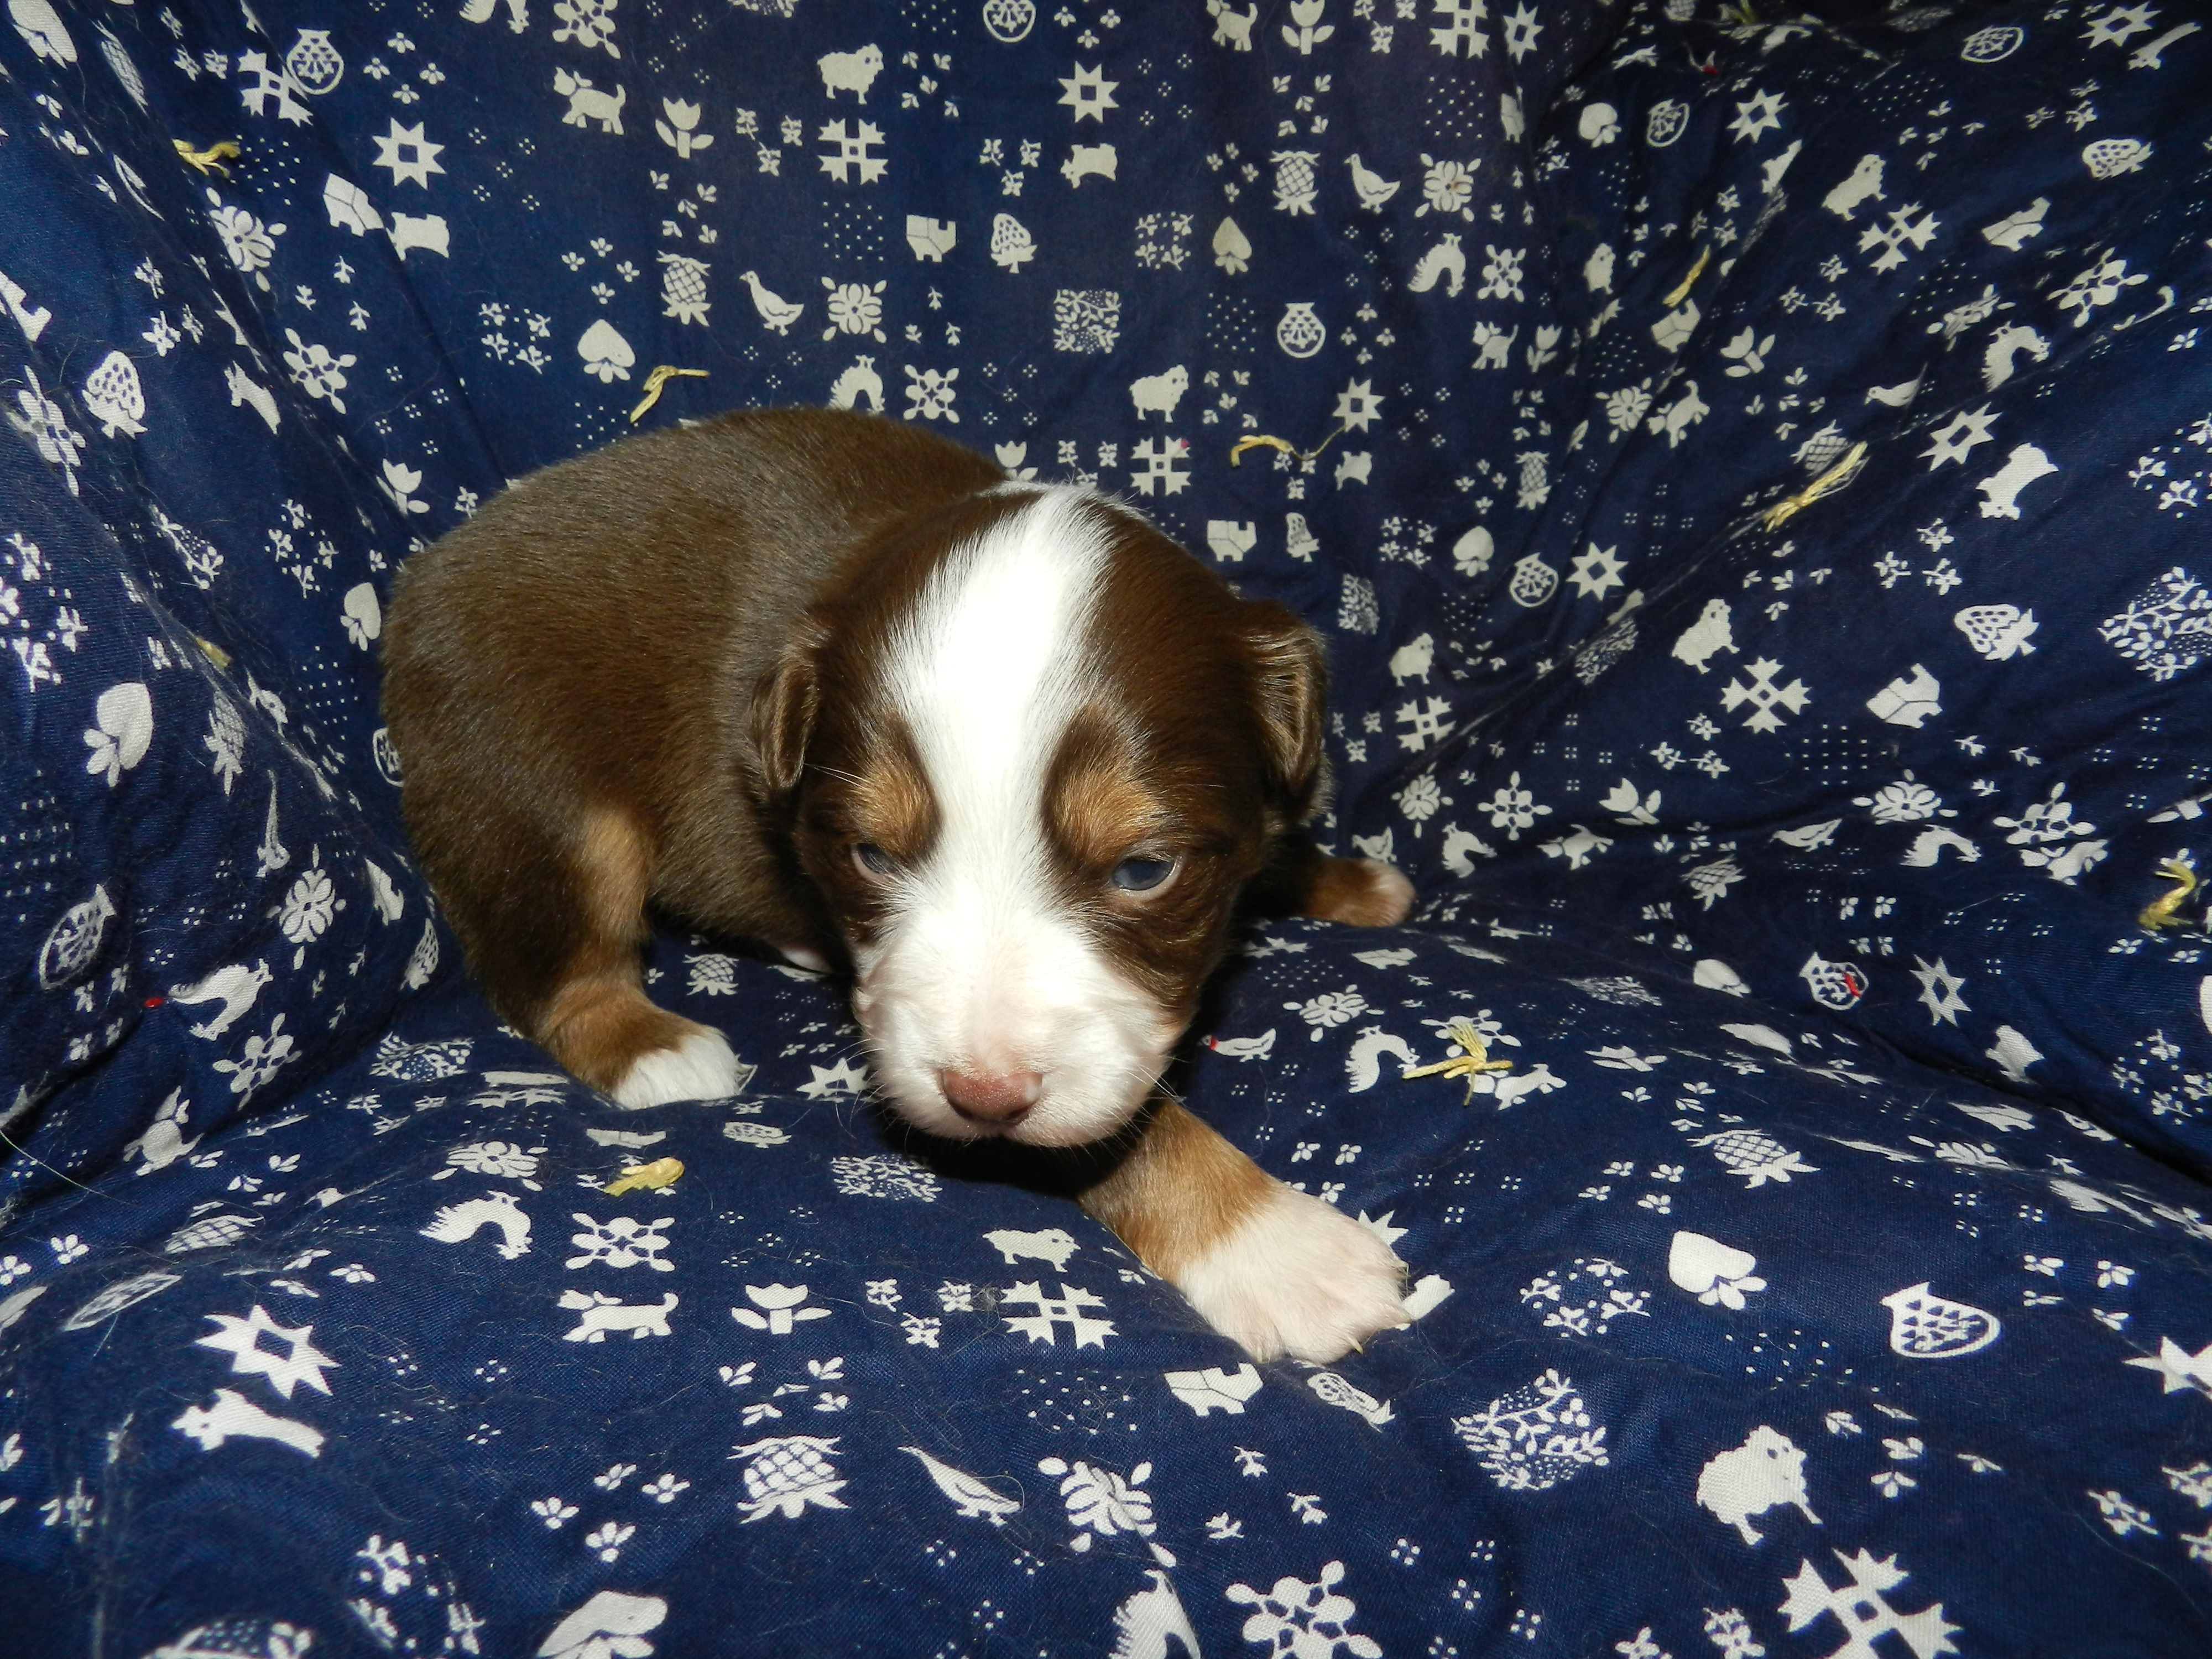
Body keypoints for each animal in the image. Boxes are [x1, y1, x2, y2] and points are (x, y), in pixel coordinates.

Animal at [381, 407, 1415, 1362]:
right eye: (872, 856)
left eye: (1144, 870)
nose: (982, 1097)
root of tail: (429, 572)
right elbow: (1116, 1131)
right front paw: (1281, 1251)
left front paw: (1346, 880)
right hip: (537, 788)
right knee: (556, 971)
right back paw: (653, 1045)